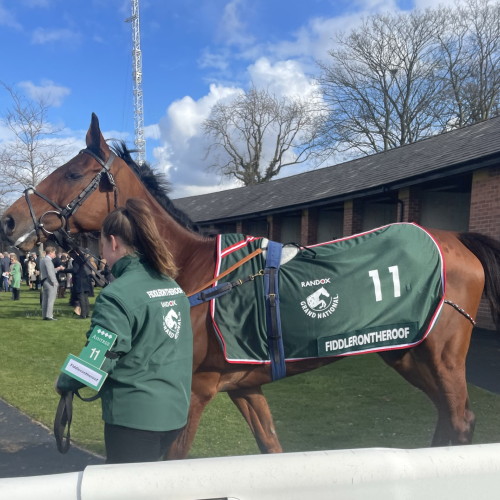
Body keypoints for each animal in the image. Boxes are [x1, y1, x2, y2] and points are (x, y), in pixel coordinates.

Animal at [0, 113, 500, 458]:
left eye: (71, 173)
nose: (9, 219)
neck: (196, 272)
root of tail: (456, 239)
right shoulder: (243, 387)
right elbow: (270, 447)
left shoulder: (197, 389)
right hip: (407, 355)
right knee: (449, 419)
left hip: (442, 357)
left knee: (461, 420)